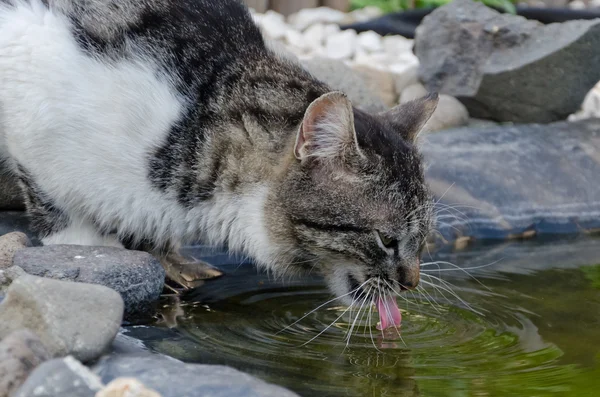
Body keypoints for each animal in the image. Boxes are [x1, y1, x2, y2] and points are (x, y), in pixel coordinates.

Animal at [0, 0, 438, 328]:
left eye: (423, 239)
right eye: (386, 239)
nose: (411, 283)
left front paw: (168, 258)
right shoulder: (30, 98)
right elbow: (60, 211)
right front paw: (91, 249)